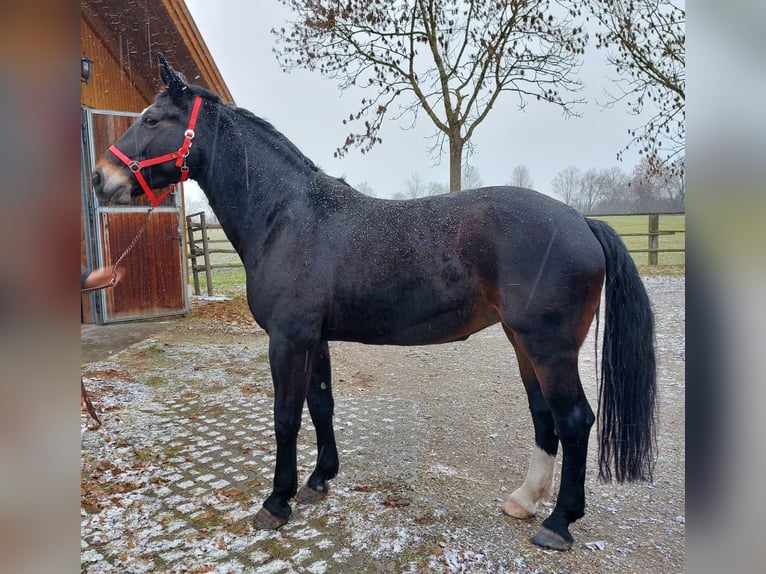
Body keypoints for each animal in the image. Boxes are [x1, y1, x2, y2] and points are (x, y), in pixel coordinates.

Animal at [92, 54, 656, 551]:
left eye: (152, 119)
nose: (100, 177)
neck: (287, 216)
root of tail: (581, 221)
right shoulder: (313, 339)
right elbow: (321, 405)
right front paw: (319, 479)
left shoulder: (288, 340)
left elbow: (285, 416)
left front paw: (276, 502)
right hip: (523, 343)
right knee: (545, 417)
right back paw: (524, 500)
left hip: (549, 347)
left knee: (575, 420)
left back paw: (559, 524)